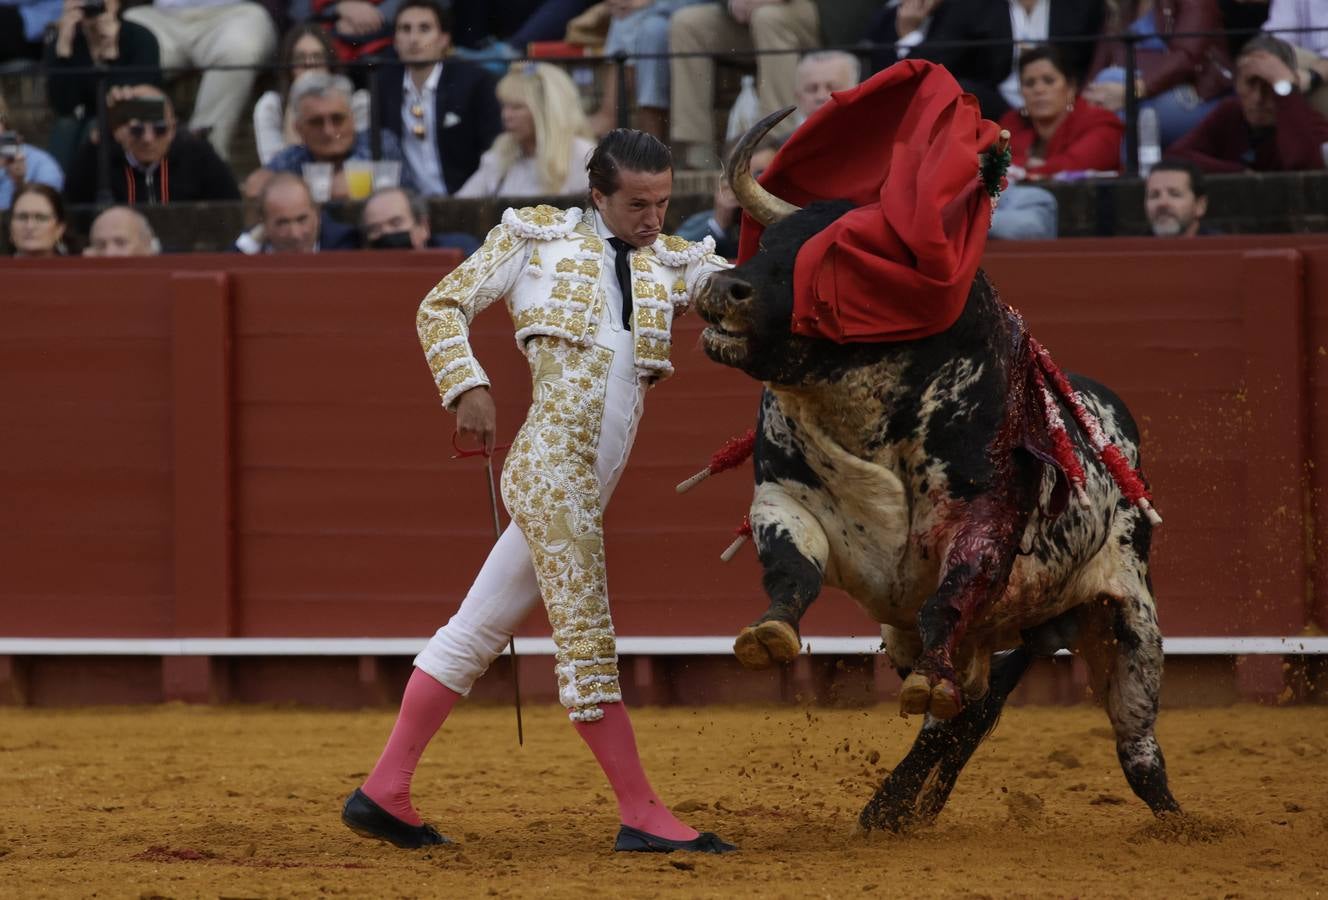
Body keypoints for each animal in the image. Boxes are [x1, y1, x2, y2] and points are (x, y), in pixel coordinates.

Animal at [695, 114, 1184, 838]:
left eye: (840, 266)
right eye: (769, 243)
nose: (722, 288)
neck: (863, 405)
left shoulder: (983, 524)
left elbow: (944, 604)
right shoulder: (783, 498)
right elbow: (792, 572)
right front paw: (770, 635)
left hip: (1127, 617)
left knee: (1135, 747)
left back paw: (1182, 824)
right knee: (962, 716)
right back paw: (892, 808)